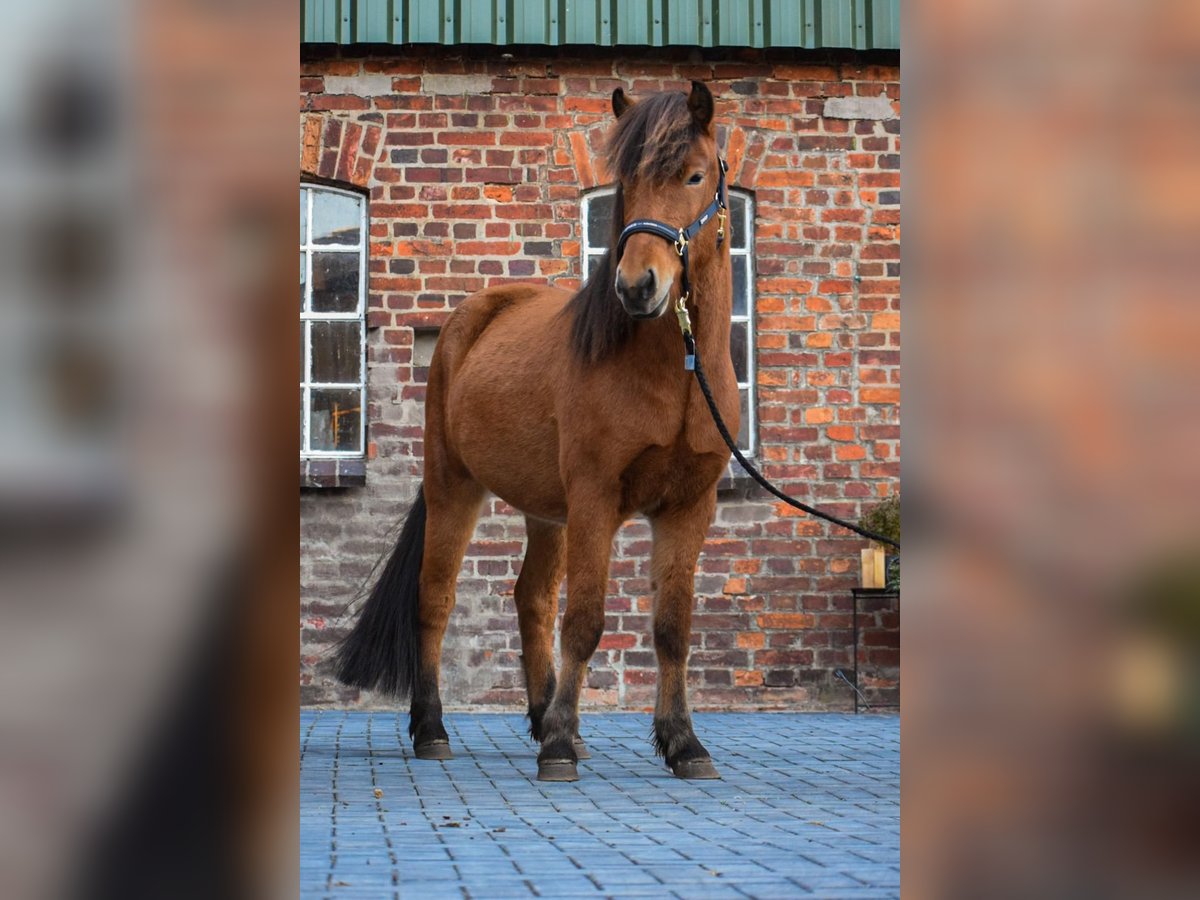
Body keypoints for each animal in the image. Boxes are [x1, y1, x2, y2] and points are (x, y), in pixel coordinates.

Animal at [333, 82, 734, 782]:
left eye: (694, 175)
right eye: (627, 181)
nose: (638, 286)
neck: (678, 374)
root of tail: (467, 320)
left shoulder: (690, 505)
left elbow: (672, 628)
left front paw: (683, 743)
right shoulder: (597, 497)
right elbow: (586, 621)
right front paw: (559, 749)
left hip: (550, 512)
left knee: (531, 600)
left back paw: (544, 715)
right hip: (456, 487)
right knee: (435, 601)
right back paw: (433, 729)